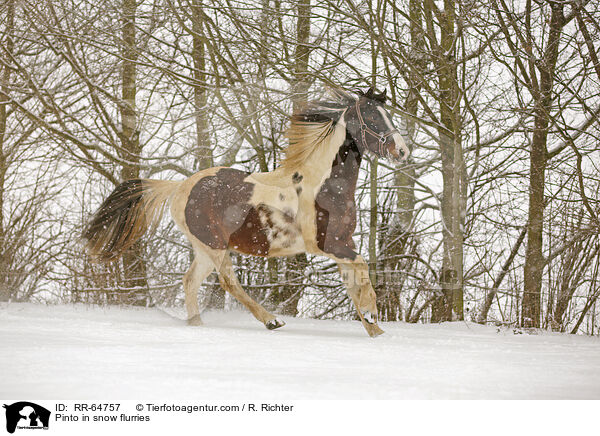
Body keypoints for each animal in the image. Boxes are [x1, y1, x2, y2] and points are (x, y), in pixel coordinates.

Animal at [83, 87, 408, 336]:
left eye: (388, 115)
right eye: (371, 116)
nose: (402, 150)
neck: (322, 185)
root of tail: (180, 186)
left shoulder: (343, 243)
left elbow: (356, 282)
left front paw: (375, 330)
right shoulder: (327, 245)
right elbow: (362, 269)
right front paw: (373, 314)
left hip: (204, 247)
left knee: (190, 281)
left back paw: (197, 325)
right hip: (214, 245)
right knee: (229, 283)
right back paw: (271, 321)